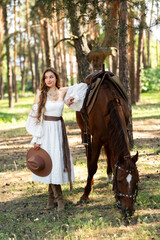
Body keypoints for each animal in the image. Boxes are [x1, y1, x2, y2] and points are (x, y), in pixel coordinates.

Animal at [76, 70, 139, 217]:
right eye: (120, 180)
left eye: (136, 180)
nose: (129, 210)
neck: (109, 103)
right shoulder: (97, 139)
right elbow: (92, 166)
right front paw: (85, 194)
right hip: (84, 131)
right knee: (88, 153)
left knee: (109, 153)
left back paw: (109, 174)